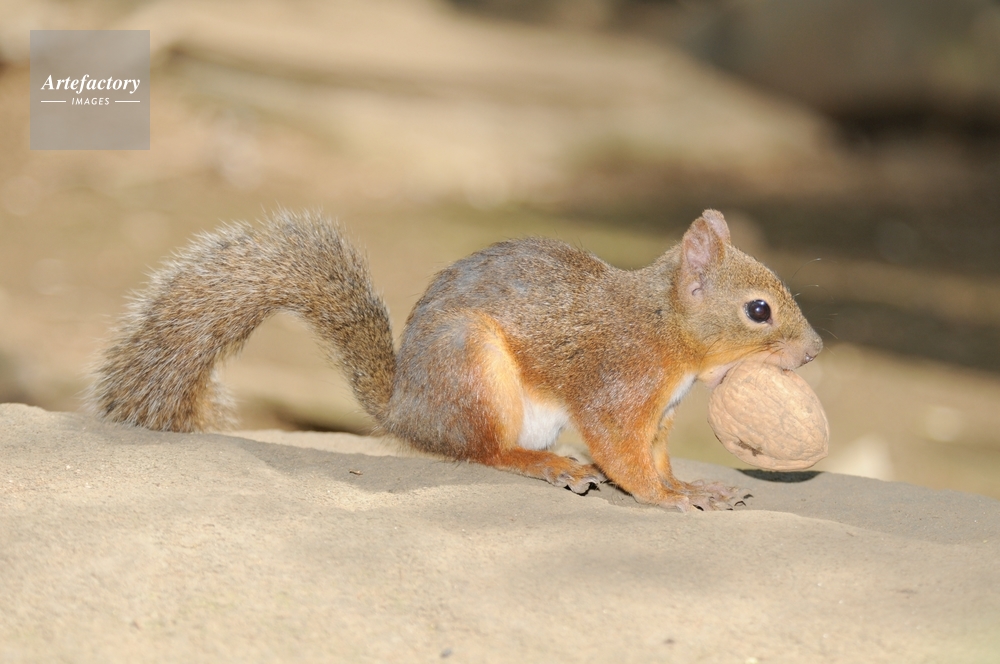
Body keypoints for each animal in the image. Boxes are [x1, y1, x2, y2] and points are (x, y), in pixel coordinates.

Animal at [90, 208, 822, 511]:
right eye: (759, 310)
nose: (814, 350)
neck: (664, 332)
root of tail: (408, 411)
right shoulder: (617, 389)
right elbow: (624, 455)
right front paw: (666, 498)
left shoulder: (662, 416)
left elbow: (659, 457)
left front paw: (694, 486)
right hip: (473, 369)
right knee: (484, 452)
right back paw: (548, 465)